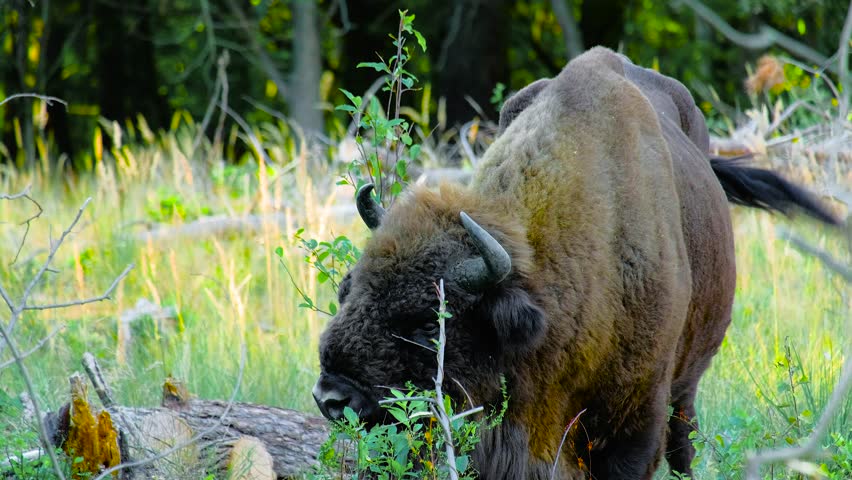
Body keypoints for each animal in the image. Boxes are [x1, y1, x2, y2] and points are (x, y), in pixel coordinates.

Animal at [312, 47, 838, 479]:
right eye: (347, 291)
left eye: (429, 324)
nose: (331, 398)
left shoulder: (635, 421)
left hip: (686, 384)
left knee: (683, 444)